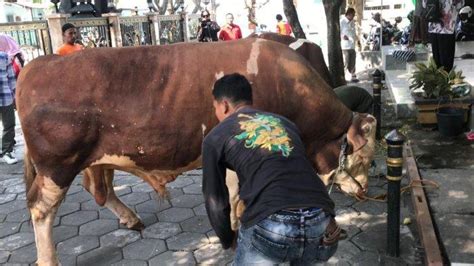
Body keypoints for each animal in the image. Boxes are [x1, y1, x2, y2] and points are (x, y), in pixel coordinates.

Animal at [17, 38, 374, 266]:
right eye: (365, 158)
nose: (365, 191)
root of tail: (38, 64)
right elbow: (236, 196)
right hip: (57, 166)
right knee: (41, 209)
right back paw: (48, 259)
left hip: (95, 160)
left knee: (99, 191)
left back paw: (130, 218)